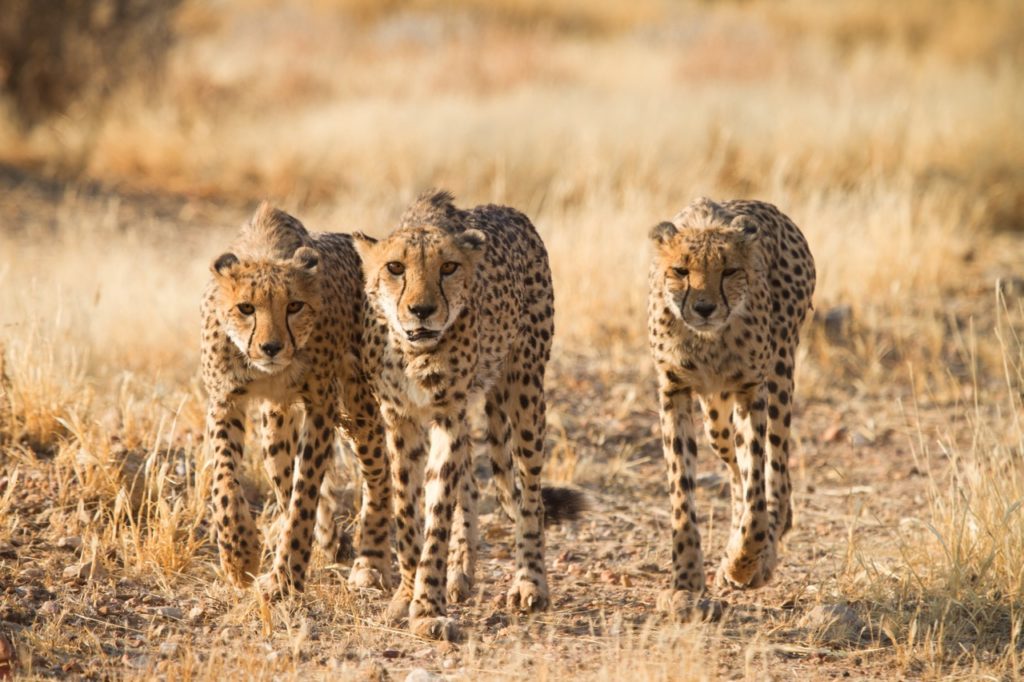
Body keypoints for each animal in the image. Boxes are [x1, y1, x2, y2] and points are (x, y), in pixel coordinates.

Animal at [199, 201, 391, 593]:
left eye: (294, 306)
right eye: (246, 308)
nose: (271, 347)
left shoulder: (322, 405)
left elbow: (306, 492)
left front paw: (285, 575)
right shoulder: (225, 400)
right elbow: (225, 479)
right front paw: (239, 554)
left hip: (358, 401)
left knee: (379, 466)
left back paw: (371, 561)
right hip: (276, 421)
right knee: (282, 474)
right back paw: (328, 538)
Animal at [352, 189, 581, 638]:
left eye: (449, 267)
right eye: (394, 267)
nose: (421, 310)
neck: (415, 352)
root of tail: (508, 209)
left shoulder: (447, 415)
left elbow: (438, 509)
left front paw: (427, 607)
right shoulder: (400, 419)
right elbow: (408, 510)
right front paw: (407, 594)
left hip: (525, 386)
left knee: (528, 495)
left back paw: (529, 583)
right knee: (472, 484)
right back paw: (461, 572)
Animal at [647, 197, 815, 614]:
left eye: (730, 271)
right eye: (680, 270)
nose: (705, 307)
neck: (708, 341)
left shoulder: (751, 391)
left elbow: (757, 490)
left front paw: (743, 562)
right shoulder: (675, 391)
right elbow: (682, 491)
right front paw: (687, 579)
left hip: (779, 378)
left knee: (776, 474)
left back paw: (758, 556)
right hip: (716, 421)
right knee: (735, 470)